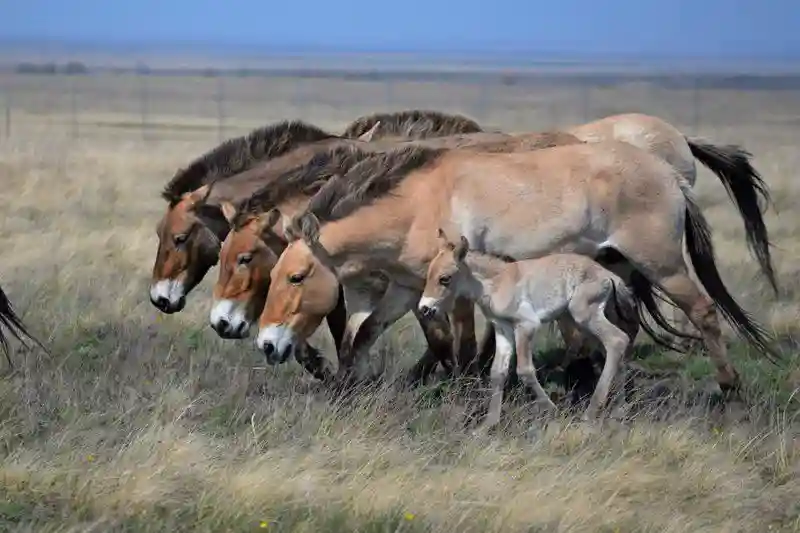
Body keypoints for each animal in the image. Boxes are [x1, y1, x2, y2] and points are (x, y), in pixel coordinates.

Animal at [418, 229, 636, 428]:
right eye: (428, 275)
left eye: (445, 278)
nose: (424, 309)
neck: (497, 282)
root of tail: (609, 275)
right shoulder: (502, 328)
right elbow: (498, 372)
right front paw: (488, 424)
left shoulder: (526, 325)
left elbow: (525, 370)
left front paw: (552, 410)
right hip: (588, 321)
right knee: (614, 348)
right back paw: (619, 409)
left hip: (585, 315)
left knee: (617, 341)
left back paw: (591, 413)